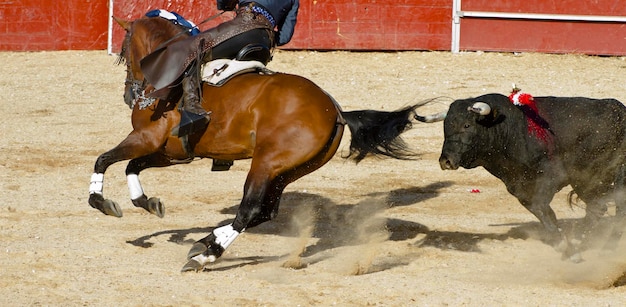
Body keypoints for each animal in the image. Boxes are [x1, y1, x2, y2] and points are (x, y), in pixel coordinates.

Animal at [89, 15, 424, 274]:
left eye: (123, 50)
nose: (129, 94)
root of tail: (336, 110)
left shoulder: (146, 139)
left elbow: (104, 159)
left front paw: (101, 202)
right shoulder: (171, 152)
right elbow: (131, 166)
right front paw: (147, 202)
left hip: (265, 163)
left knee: (249, 211)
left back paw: (205, 254)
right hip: (288, 171)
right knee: (265, 212)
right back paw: (206, 243)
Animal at [416, 93, 620, 260]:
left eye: (467, 125)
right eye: (445, 127)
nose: (446, 161)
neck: (509, 131)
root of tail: (619, 109)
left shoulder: (552, 176)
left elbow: (540, 206)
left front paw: (566, 245)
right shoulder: (518, 186)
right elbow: (542, 211)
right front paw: (562, 242)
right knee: (598, 208)